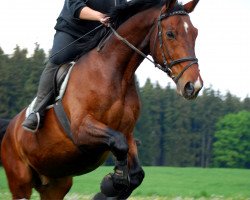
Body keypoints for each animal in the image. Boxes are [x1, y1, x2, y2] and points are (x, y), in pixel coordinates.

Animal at [0, 0, 203, 199]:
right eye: (170, 34)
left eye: (195, 33)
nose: (193, 86)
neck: (116, 74)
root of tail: (10, 127)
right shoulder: (81, 129)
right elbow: (119, 144)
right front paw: (114, 182)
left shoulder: (127, 132)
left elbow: (136, 173)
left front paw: (111, 186)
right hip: (20, 182)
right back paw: (31, 120)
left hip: (56, 184)